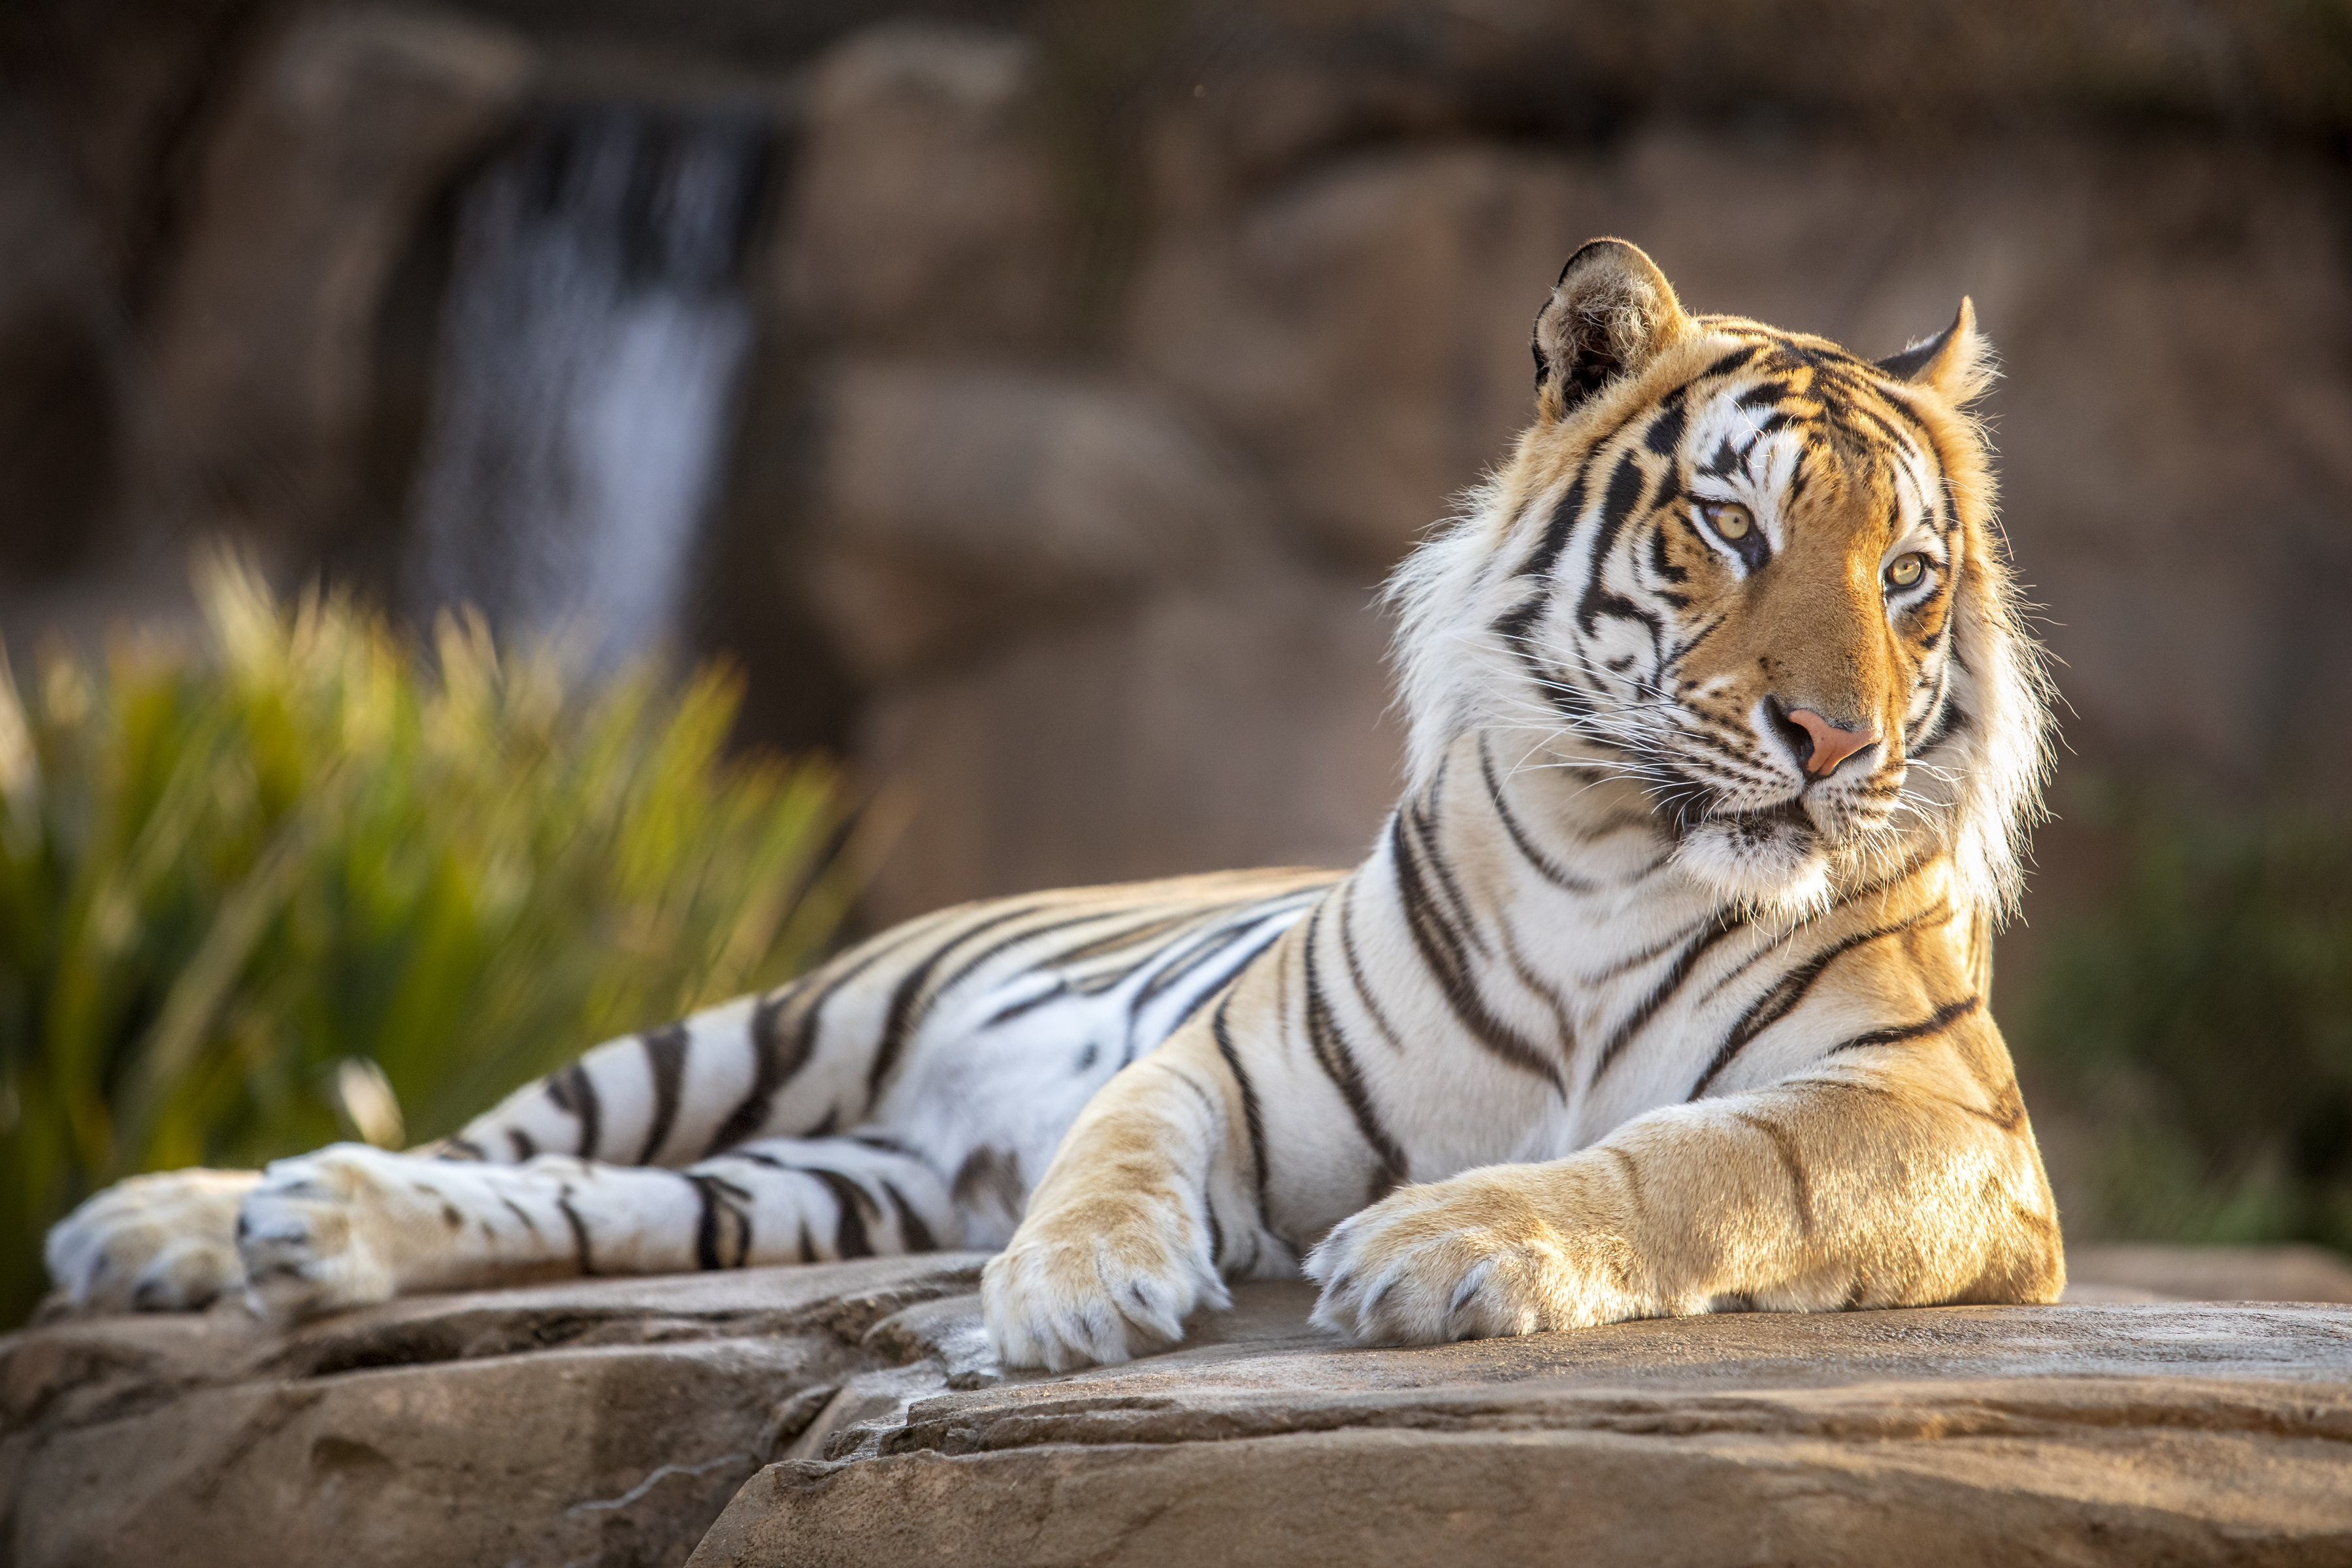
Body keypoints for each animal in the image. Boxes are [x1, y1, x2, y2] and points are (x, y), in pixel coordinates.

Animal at [41, 236, 2060, 1373]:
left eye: (1905, 577)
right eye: (1730, 526)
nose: (1835, 742)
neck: (1612, 852)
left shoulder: (1940, 1120)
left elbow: (1699, 1159)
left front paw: (1450, 1244)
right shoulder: (1216, 1057)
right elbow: (1114, 1150)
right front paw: (1075, 1298)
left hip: (803, 1187)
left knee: (571, 1207)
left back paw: (294, 1230)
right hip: (750, 1033)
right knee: (496, 1138)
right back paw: (176, 1220)